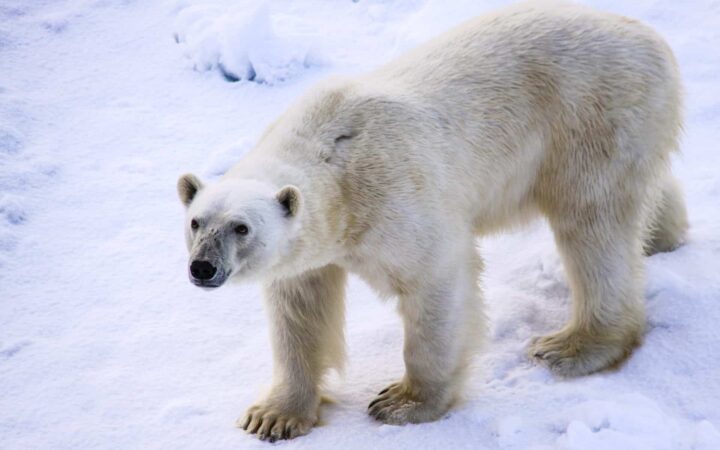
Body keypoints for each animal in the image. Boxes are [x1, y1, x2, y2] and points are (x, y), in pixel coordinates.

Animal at [177, 2, 687, 441]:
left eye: (241, 227)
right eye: (196, 222)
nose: (203, 268)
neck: (333, 159)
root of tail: (652, 39)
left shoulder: (394, 196)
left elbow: (435, 281)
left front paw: (402, 402)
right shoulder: (315, 247)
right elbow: (299, 311)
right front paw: (273, 416)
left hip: (592, 115)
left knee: (593, 224)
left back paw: (573, 346)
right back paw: (663, 238)